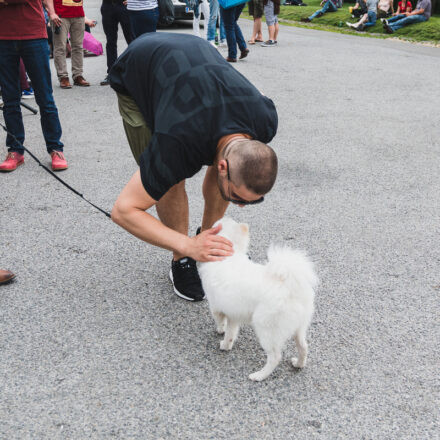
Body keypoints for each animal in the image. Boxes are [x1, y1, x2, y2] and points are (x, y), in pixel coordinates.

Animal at [198, 217, 318, 382]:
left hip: (266, 327)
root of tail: (290, 286)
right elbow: (231, 334)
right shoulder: (234, 312)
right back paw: (298, 364)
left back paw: (259, 375)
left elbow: (221, 322)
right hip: (299, 328)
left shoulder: (215, 306)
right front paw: (226, 345)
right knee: (304, 347)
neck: (229, 253)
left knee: (275, 357)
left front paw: (220, 331)